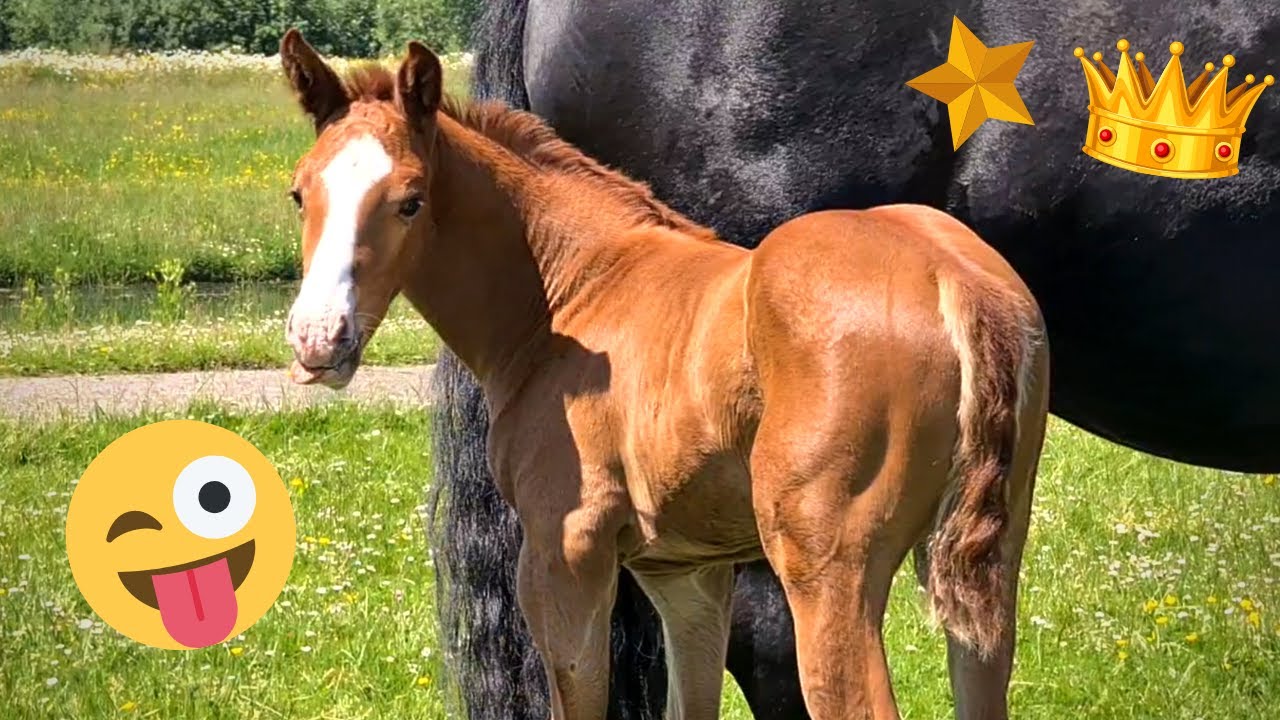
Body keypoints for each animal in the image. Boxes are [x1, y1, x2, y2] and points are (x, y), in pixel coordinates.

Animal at [276, 29, 1051, 720]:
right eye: (299, 193)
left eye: (409, 199)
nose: (318, 338)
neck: (575, 291)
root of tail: (952, 276)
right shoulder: (685, 573)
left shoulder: (566, 555)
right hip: (988, 572)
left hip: (826, 569)